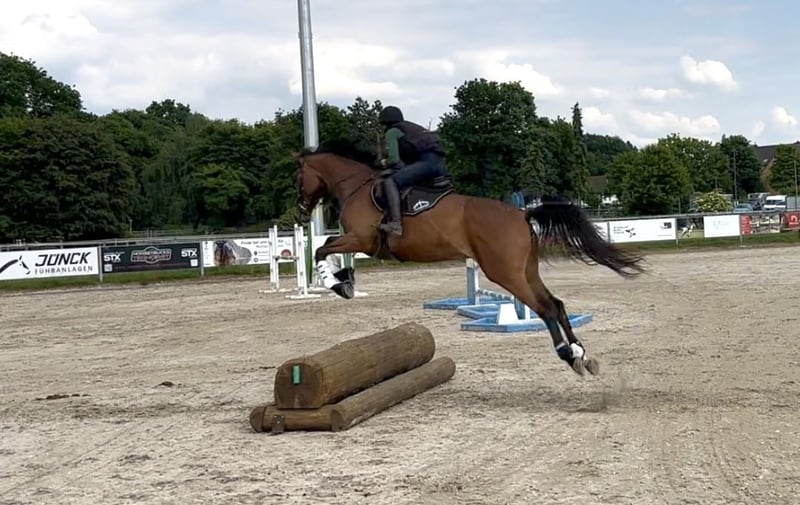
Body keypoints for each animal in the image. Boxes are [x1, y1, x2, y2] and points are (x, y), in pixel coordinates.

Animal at [292, 141, 647, 376]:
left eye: (297, 178)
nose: (300, 214)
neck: (357, 186)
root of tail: (522, 213)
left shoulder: (362, 239)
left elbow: (323, 248)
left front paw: (337, 284)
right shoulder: (359, 241)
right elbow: (329, 247)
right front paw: (345, 280)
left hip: (504, 273)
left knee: (544, 308)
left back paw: (567, 355)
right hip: (526, 270)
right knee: (555, 304)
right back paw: (581, 354)